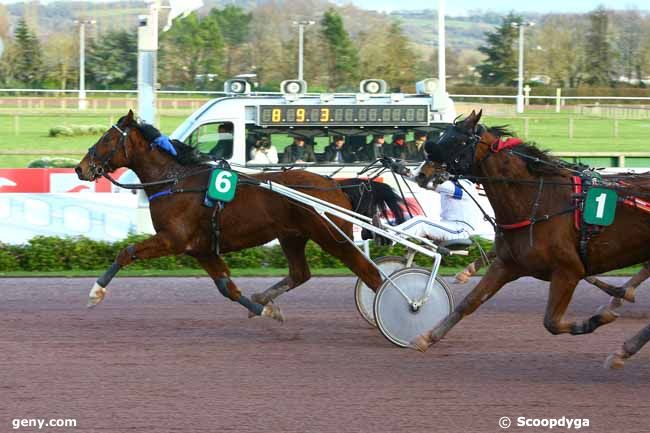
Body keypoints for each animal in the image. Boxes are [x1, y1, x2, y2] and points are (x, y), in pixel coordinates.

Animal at [74, 110, 400, 320]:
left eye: (106, 139)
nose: (80, 168)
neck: (174, 181)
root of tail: (336, 184)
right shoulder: (201, 249)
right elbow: (227, 287)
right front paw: (264, 309)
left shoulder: (172, 239)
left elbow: (126, 252)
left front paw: (94, 293)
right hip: (292, 236)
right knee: (300, 273)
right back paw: (265, 297)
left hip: (332, 236)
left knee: (370, 272)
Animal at [410, 109, 648, 366]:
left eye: (456, 141)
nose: (421, 174)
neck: (538, 201)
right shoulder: (507, 264)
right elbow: (469, 302)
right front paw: (427, 337)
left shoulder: (568, 270)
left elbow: (551, 322)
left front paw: (599, 317)